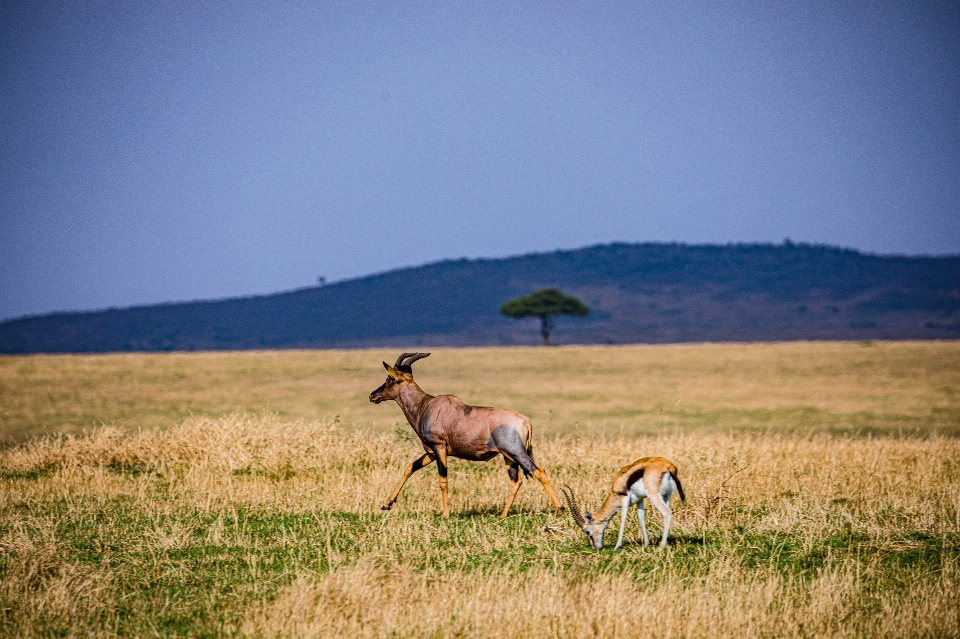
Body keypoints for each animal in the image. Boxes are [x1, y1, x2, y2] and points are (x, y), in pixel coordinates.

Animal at [366, 352, 564, 516]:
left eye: (389, 378)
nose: (372, 396)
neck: (426, 406)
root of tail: (525, 421)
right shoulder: (431, 452)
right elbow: (410, 468)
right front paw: (387, 504)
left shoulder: (439, 448)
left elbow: (443, 479)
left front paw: (445, 514)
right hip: (508, 457)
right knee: (516, 481)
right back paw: (502, 515)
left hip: (517, 452)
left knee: (539, 472)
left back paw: (560, 509)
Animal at [560, 456, 688, 552]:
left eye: (587, 531)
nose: (595, 547)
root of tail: (669, 467)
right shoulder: (640, 499)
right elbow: (641, 517)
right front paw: (646, 544)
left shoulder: (624, 499)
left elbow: (623, 519)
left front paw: (617, 546)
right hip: (667, 495)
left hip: (654, 495)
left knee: (667, 513)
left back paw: (661, 547)